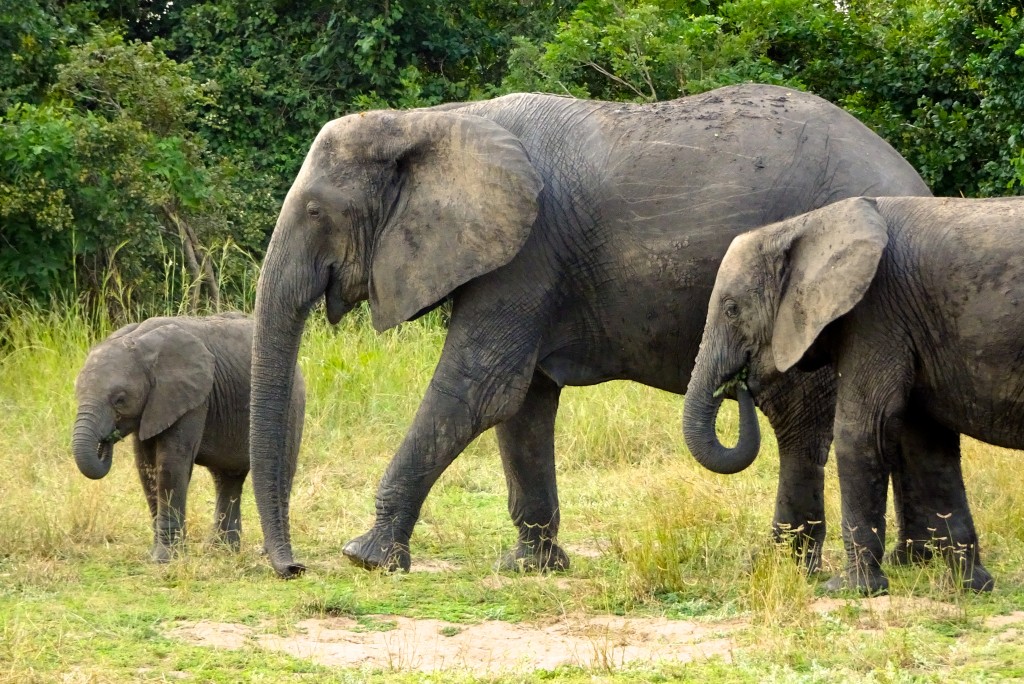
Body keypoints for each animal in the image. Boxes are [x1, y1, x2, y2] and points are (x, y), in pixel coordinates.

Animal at [72, 313, 303, 565]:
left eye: (120, 400)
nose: (107, 439)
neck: (139, 342)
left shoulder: (192, 399)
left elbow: (170, 466)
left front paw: (165, 559)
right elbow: (146, 467)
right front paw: (156, 555)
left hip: (292, 404)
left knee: (279, 473)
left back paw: (260, 552)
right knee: (226, 478)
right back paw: (221, 549)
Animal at [251, 83, 933, 577]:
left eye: (316, 211)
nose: (294, 568)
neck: (432, 121)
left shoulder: (528, 254)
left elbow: (477, 389)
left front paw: (364, 557)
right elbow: (521, 404)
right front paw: (531, 567)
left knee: (799, 414)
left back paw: (794, 567)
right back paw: (900, 564)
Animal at [684, 196, 1024, 593]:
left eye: (732, 309)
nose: (737, 383)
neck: (804, 225)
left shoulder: (875, 313)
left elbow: (861, 433)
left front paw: (851, 588)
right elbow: (929, 448)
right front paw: (966, 586)